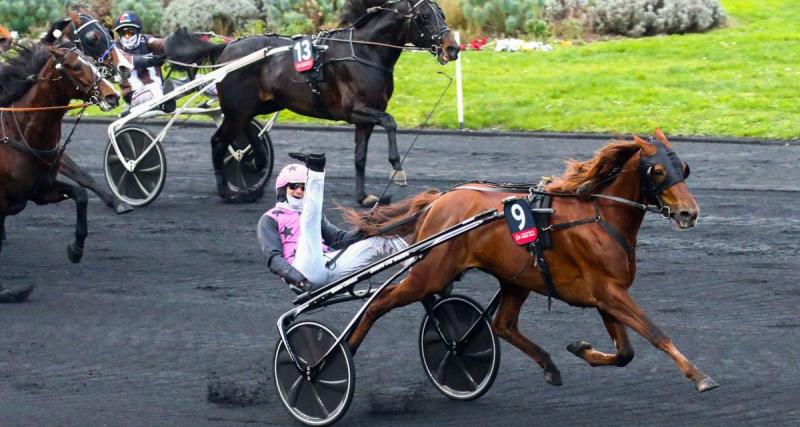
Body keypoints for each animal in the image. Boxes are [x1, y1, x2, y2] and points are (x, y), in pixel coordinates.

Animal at [0, 44, 119, 304]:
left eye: (94, 62)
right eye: (75, 66)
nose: (112, 95)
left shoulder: (40, 190)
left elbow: (81, 194)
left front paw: (76, 249)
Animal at [166, 0, 460, 206]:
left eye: (442, 14)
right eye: (424, 16)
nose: (452, 48)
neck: (365, 52)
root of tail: (226, 49)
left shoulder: (365, 117)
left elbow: (360, 157)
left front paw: (364, 196)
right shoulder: (356, 111)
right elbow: (390, 123)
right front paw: (398, 171)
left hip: (257, 106)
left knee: (244, 132)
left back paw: (257, 164)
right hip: (238, 109)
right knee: (219, 141)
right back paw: (227, 190)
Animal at [344, 131, 720, 394]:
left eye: (683, 168)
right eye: (656, 170)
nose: (689, 212)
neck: (599, 215)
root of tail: (440, 200)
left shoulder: (607, 295)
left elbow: (625, 353)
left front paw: (580, 348)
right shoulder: (608, 291)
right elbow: (655, 333)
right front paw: (700, 376)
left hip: (516, 277)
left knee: (502, 325)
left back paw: (546, 364)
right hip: (430, 272)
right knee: (379, 302)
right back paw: (343, 351)